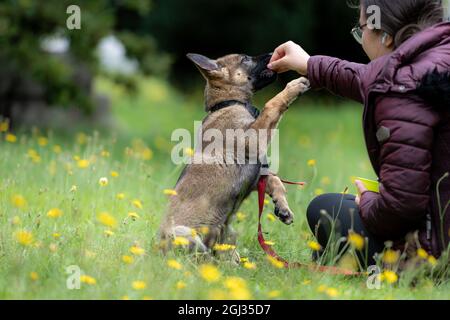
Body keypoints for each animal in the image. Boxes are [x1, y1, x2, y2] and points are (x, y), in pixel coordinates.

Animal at [158, 51, 310, 258]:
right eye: (245, 58)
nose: (273, 53)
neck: (228, 103)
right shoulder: (253, 139)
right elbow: (271, 104)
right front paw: (294, 86)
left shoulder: (256, 177)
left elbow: (275, 179)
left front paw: (282, 207)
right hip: (184, 234)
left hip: (227, 231)